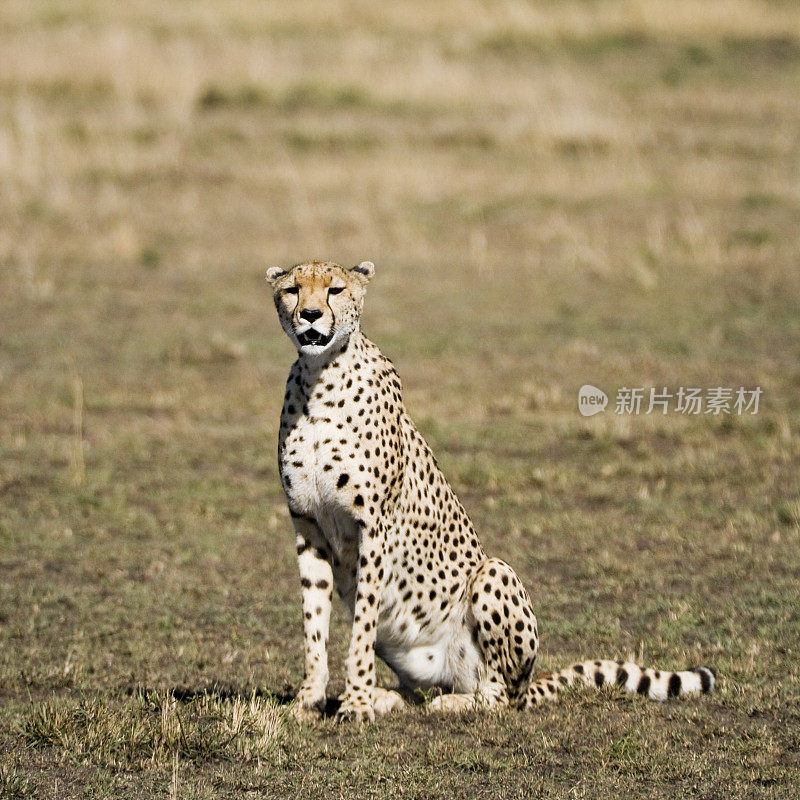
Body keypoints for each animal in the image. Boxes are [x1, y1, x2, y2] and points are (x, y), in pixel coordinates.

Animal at [266, 260, 716, 720]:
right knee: (422, 688)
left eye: (335, 290)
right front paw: (310, 699)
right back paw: (391, 695)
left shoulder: (373, 527)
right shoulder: (308, 527)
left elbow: (361, 628)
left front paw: (355, 702)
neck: (320, 377)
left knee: (500, 695)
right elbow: (314, 623)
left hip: (493, 575)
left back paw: (451, 701)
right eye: (292, 290)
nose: (310, 315)